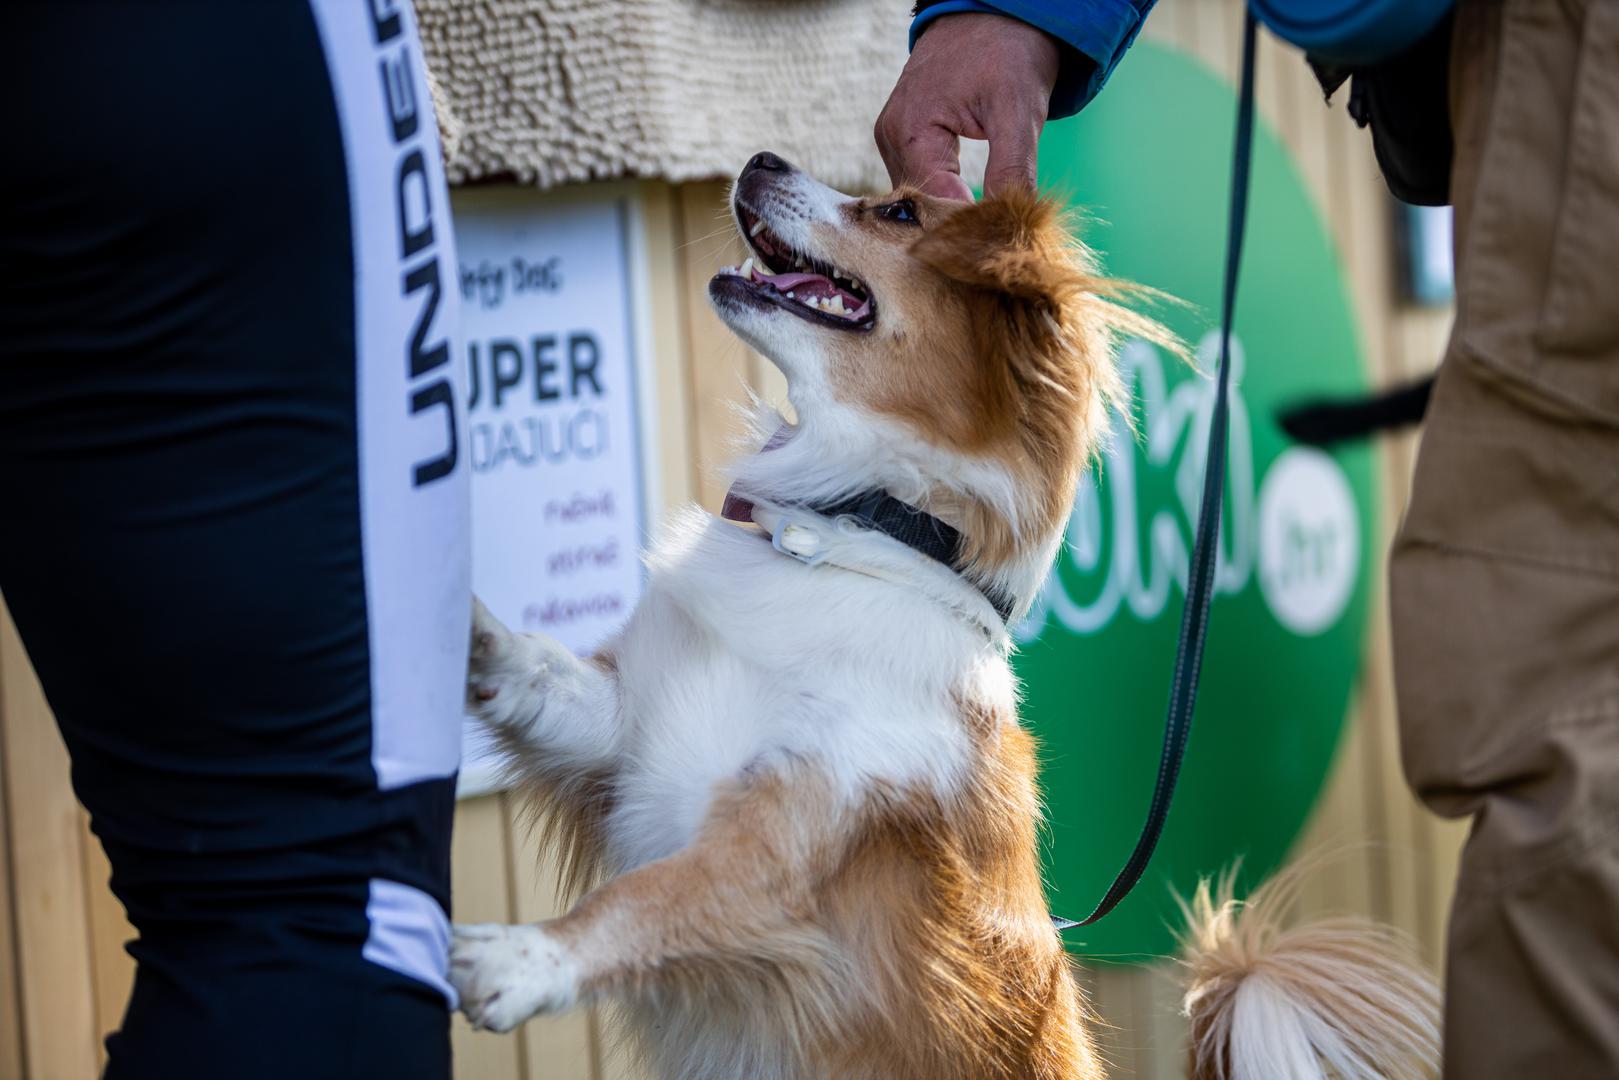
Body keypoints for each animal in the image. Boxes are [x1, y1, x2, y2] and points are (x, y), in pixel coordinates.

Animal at [446, 153, 1444, 1080]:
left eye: (895, 213)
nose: (760, 159)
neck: (850, 532)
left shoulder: (791, 845)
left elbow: (652, 898)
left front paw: (524, 958)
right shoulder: (623, 729)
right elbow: (538, 669)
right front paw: (462, 627)